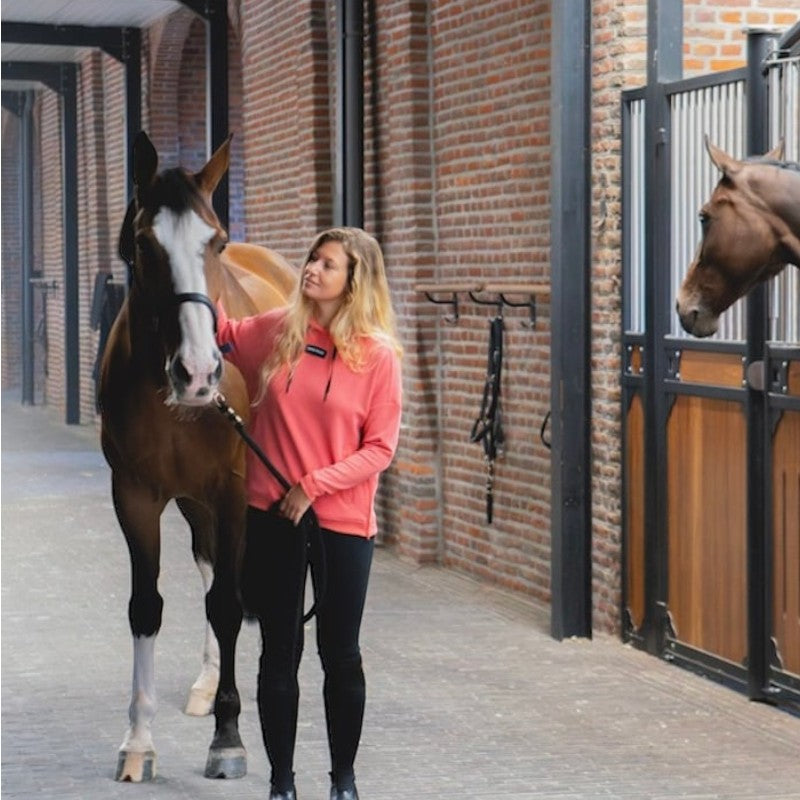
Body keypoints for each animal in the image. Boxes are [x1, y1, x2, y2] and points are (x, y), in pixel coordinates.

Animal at [99, 130, 296, 782]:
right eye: (143, 243)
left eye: (217, 241)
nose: (199, 372)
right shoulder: (135, 494)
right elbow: (146, 607)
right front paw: (138, 743)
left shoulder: (234, 487)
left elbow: (230, 605)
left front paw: (229, 740)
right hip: (192, 501)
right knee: (211, 565)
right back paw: (209, 684)